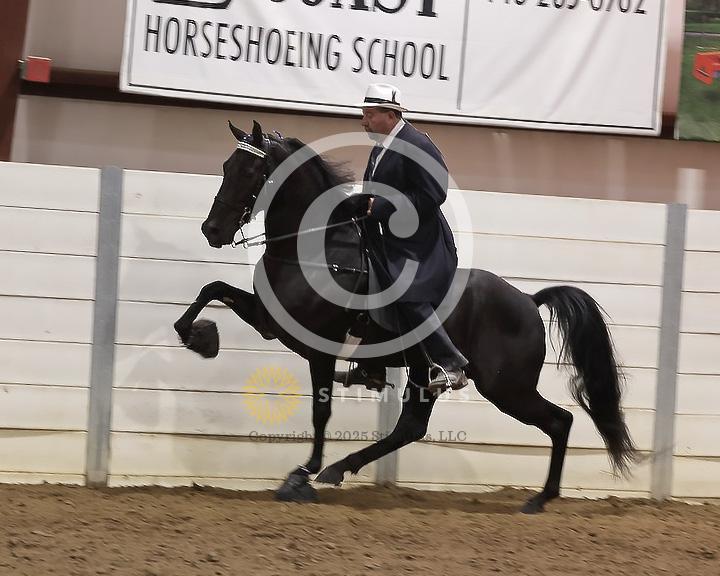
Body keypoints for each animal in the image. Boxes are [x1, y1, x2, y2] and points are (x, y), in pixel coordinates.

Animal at [173, 120, 638, 513]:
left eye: (252, 170)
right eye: (226, 166)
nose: (212, 230)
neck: (315, 251)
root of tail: (527, 298)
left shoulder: (317, 348)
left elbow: (321, 413)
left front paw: (300, 476)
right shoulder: (269, 321)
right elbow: (212, 289)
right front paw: (199, 337)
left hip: (506, 386)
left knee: (560, 421)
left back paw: (540, 499)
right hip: (426, 373)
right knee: (411, 427)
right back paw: (343, 468)